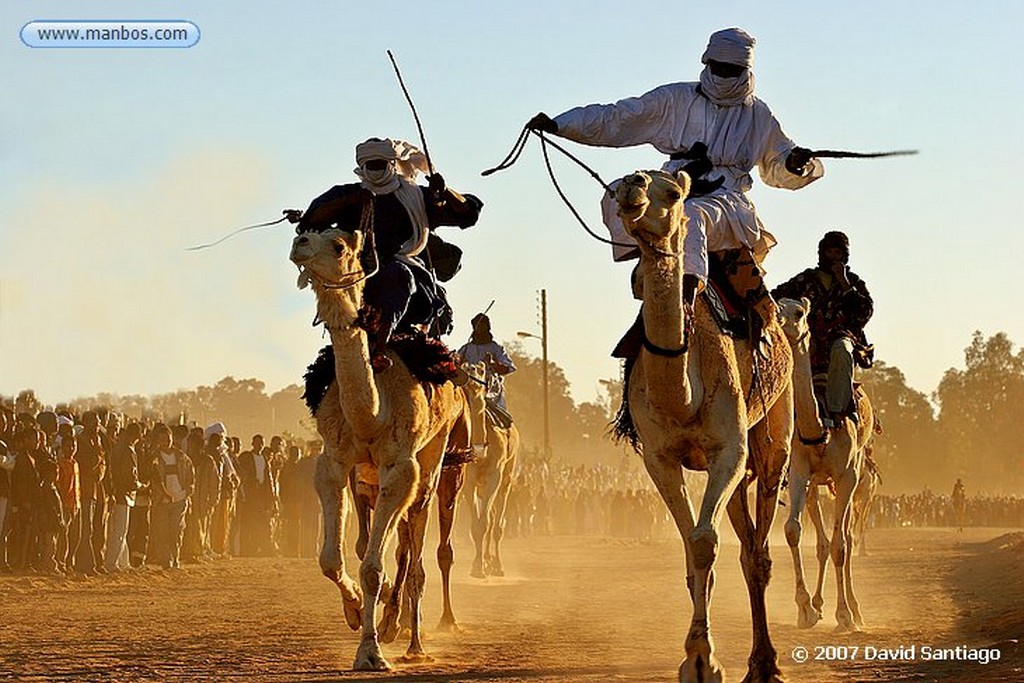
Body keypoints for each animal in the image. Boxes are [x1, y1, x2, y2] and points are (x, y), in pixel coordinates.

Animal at [292, 227, 471, 671]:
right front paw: (355, 610)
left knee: (417, 540)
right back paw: (395, 620)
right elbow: (332, 559)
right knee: (402, 539)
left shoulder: (400, 466)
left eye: (338, 245)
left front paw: (371, 652)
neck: (372, 412)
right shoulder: (334, 462)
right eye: (307, 232)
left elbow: (374, 565)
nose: (299, 242)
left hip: (435, 460)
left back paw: (413, 641)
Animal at [460, 360, 520, 581]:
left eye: (481, 368)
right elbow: (476, 525)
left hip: (507, 478)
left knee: (497, 523)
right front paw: (477, 567)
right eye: (462, 364)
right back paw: (487, 561)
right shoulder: (469, 481)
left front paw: (484, 566)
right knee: (491, 518)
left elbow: (486, 523)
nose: (470, 372)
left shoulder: (495, 475)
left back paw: (497, 565)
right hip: (481, 486)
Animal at [610, 171, 794, 683]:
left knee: (759, 552)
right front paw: (695, 657)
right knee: (744, 543)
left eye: (673, 194)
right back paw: (757, 660)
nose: (632, 186)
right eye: (623, 182)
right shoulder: (660, 458)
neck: (682, 392)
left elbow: (705, 543)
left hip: (773, 438)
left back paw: (767, 664)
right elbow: (692, 550)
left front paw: (704, 660)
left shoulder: (728, 450)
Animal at [778, 296, 876, 634]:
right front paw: (805, 608)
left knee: (845, 538)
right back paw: (820, 604)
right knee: (821, 542)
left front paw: (844, 615)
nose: (780, 322)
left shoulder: (846, 476)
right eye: (775, 304)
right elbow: (793, 530)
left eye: (799, 312)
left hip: (855, 477)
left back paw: (857, 612)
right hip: (817, 486)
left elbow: (840, 546)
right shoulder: (799, 472)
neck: (821, 426)